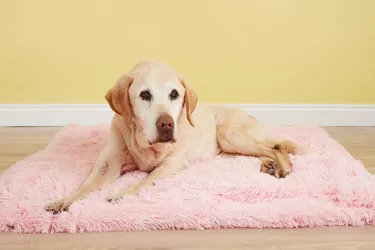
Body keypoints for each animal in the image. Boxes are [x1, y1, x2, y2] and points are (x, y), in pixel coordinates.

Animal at [45, 60, 306, 213]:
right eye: (145, 94)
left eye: (174, 94)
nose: (166, 124)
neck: (144, 145)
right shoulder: (108, 166)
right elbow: (85, 187)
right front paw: (64, 201)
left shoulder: (169, 164)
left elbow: (145, 180)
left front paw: (121, 193)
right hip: (230, 148)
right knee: (264, 150)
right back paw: (269, 166)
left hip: (231, 135)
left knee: (275, 147)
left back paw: (283, 168)